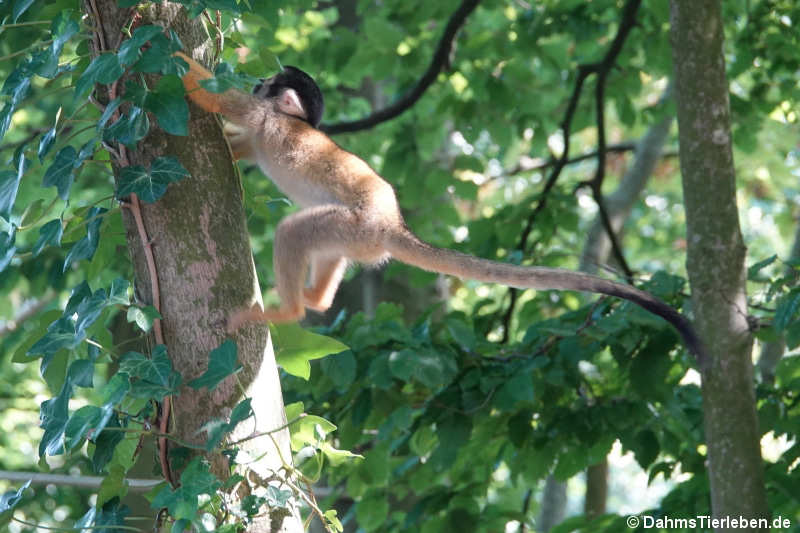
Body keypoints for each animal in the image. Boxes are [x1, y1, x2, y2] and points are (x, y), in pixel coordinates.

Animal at [177, 53, 708, 362]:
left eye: (268, 84)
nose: (259, 80)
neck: (287, 119)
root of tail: (395, 225)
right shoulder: (263, 127)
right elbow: (240, 145)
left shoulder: (266, 117)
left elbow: (216, 99)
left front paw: (169, 45)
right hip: (359, 238)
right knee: (322, 249)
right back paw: (317, 300)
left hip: (356, 225)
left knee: (295, 231)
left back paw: (288, 310)